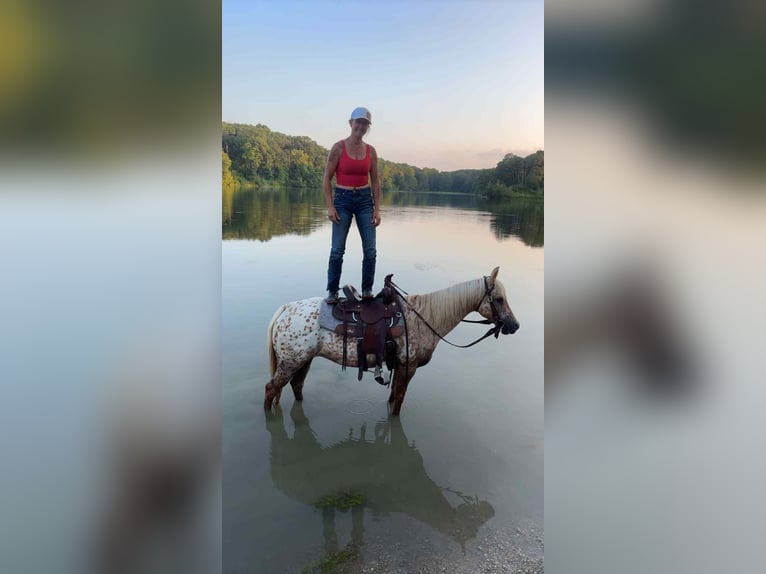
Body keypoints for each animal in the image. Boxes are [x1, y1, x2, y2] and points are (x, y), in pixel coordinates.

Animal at [264, 266, 519, 415]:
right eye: (498, 299)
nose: (514, 326)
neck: (424, 317)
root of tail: (285, 309)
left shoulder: (399, 366)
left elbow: (393, 396)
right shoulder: (409, 367)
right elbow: (398, 400)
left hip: (303, 361)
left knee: (296, 386)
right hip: (290, 362)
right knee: (271, 389)